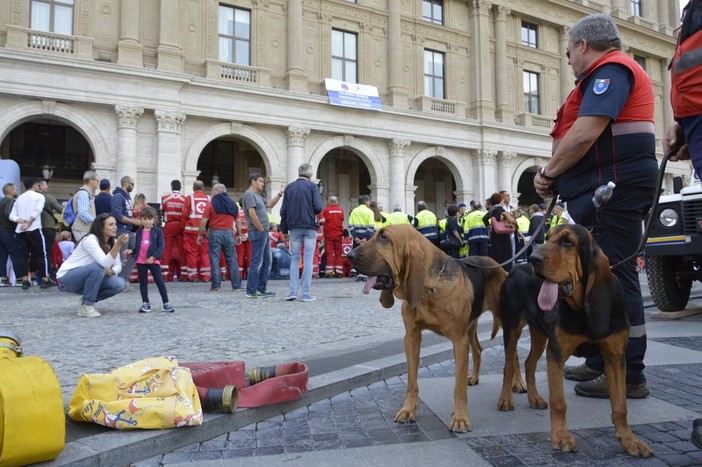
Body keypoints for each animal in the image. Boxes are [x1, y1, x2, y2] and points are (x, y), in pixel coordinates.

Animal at [348, 225, 508, 434]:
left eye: (384, 238)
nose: (349, 255)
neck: (430, 290)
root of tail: (494, 262)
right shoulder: (412, 336)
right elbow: (411, 381)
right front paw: (408, 410)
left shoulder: (459, 341)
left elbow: (458, 388)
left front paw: (460, 419)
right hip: (471, 326)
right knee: (479, 350)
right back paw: (474, 378)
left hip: (508, 323)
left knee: (512, 361)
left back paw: (512, 391)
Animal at [500, 225, 656, 458]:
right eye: (547, 237)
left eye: (568, 241)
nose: (534, 258)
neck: (583, 307)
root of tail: (515, 268)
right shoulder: (556, 354)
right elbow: (559, 402)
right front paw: (561, 437)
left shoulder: (615, 357)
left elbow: (621, 406)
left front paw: (630, 440)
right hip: (512, 328)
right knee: (509, 364)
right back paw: (505, 399)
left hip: (539, 334)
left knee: (529, 363)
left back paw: (534, 398)